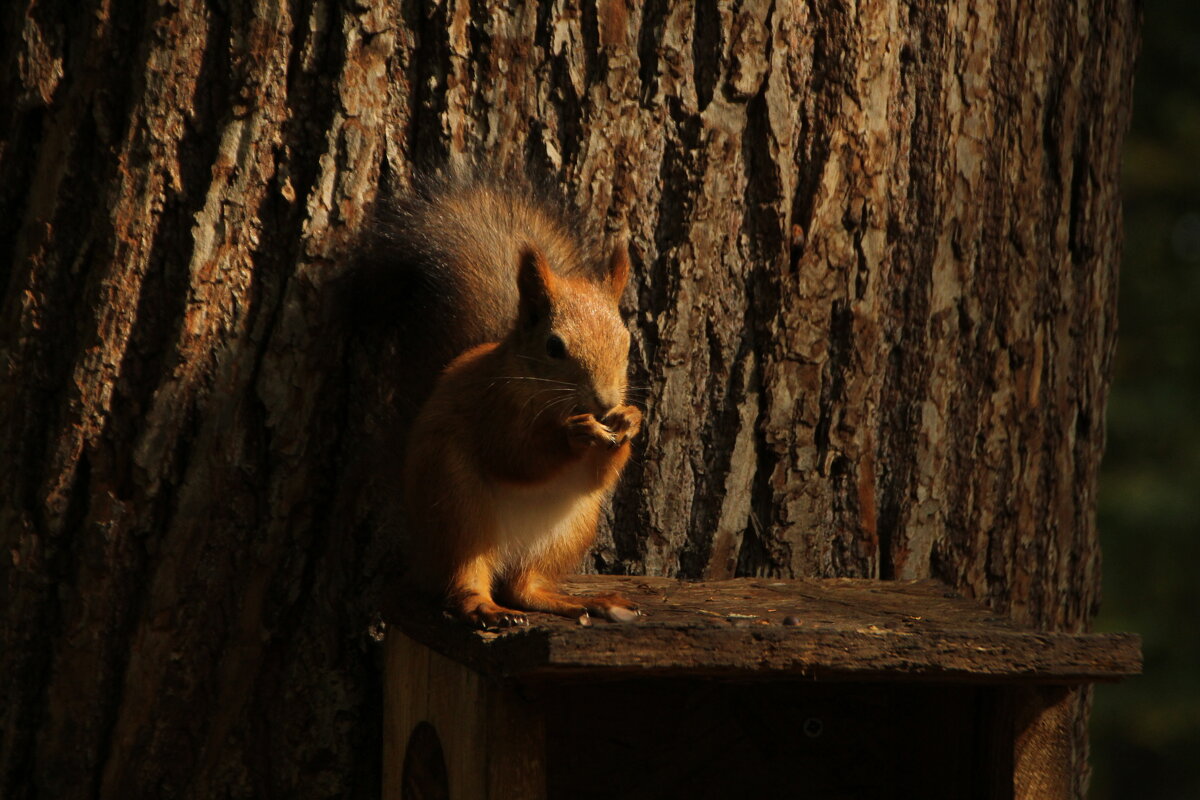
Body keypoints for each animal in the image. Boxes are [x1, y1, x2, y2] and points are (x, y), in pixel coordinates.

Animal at [393, 176, 643, 633]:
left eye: (627, 341)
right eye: (554, 346)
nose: (604, 403)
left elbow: (599, 476)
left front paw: (629, 421)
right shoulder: (492, 409)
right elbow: (513, 457)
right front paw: (575, 434)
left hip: (569, 529)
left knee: (523, 588)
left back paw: (586, 602)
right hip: (456, 503)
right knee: (466, 577)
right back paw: (484, 607)